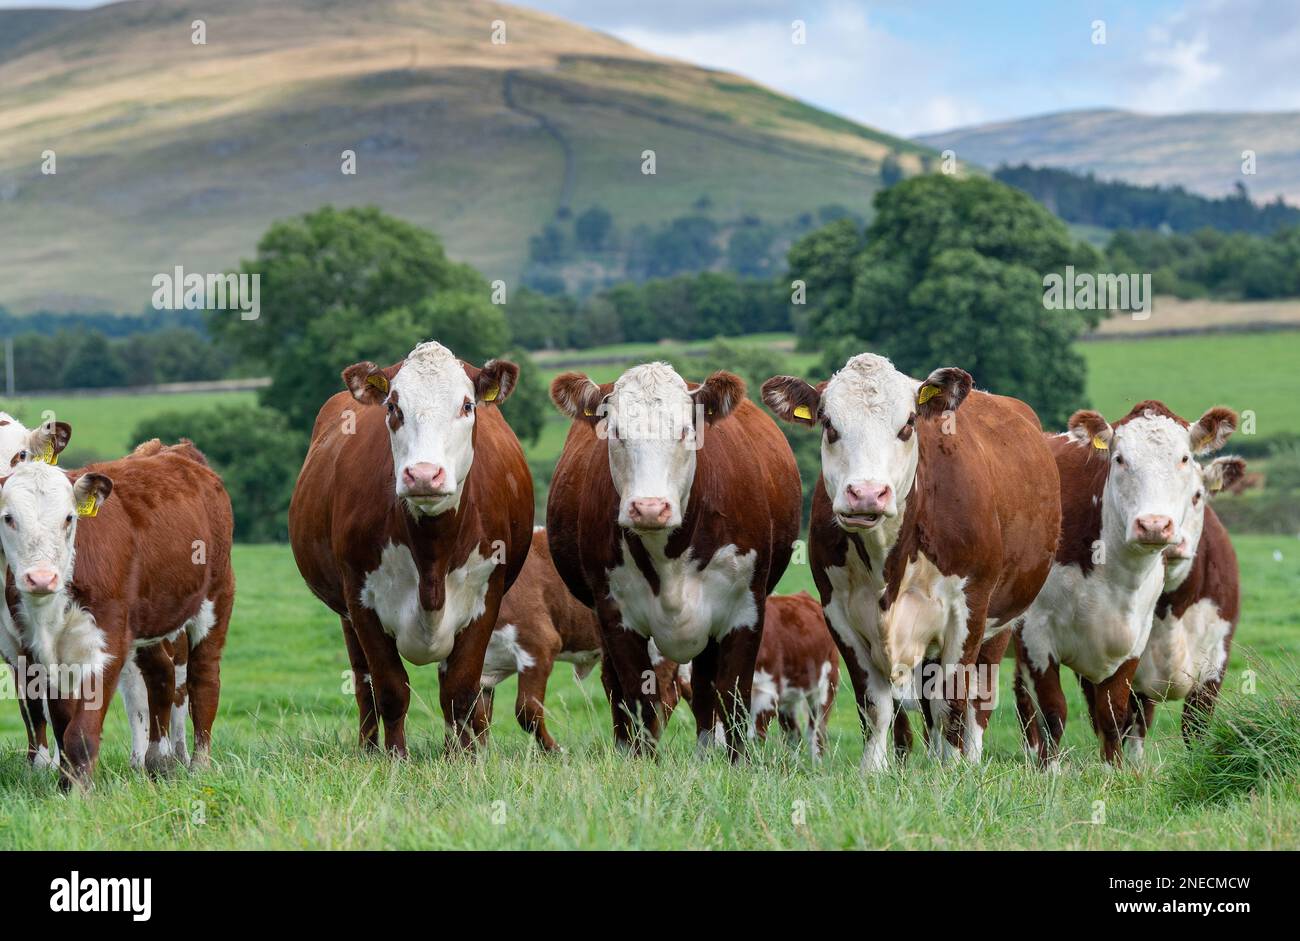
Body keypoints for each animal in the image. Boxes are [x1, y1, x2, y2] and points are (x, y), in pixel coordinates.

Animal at [0, 440, 234, 787]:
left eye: (69, 518)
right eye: (8, 518)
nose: (41, 578)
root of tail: (180, 453)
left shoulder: (108, 643)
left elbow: (80, 733)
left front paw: (79, 791)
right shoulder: (39, 649)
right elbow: (60, 723)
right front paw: (65, 783)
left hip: (215, 600)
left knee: (203, 680)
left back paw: (198, 765)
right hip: (149, 620)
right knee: (161, 675)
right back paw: (158, 760)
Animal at [289, 340, 533, 756]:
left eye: (467, 405)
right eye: (393, 407)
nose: (423, 475)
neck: (431, 550)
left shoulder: (486, 599)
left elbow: (460, 692)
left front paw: (462, 759)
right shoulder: (362, 601)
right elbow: (389, 689)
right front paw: (394, 757)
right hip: (346, 616)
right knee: (364, 685)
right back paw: (368, 748)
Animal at [547, 363, 801, 759]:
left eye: (685, 431)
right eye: (616, 432)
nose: (650, 507)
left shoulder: (746, 608)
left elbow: (733, 693)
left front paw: (739, 762)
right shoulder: (615, 613)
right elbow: (638, 694)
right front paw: (642, 760)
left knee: (705, 687)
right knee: (615, 686)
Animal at [748, 591, 839, 761]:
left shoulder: (767, 692)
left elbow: (754, 736)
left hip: (826, 685)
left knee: (816, 733)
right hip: (788, 698)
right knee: (793, 735)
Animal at [762, 353, 1060, 771]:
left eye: (907, 425)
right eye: (829, 424)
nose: (866, 494)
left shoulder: (967, 609)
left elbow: (952, 702)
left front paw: (953, 770)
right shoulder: (838, 613)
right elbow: (876, 705)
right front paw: (874, 770)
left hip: (1001, 620)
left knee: (977, 702)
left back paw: (968, 758)